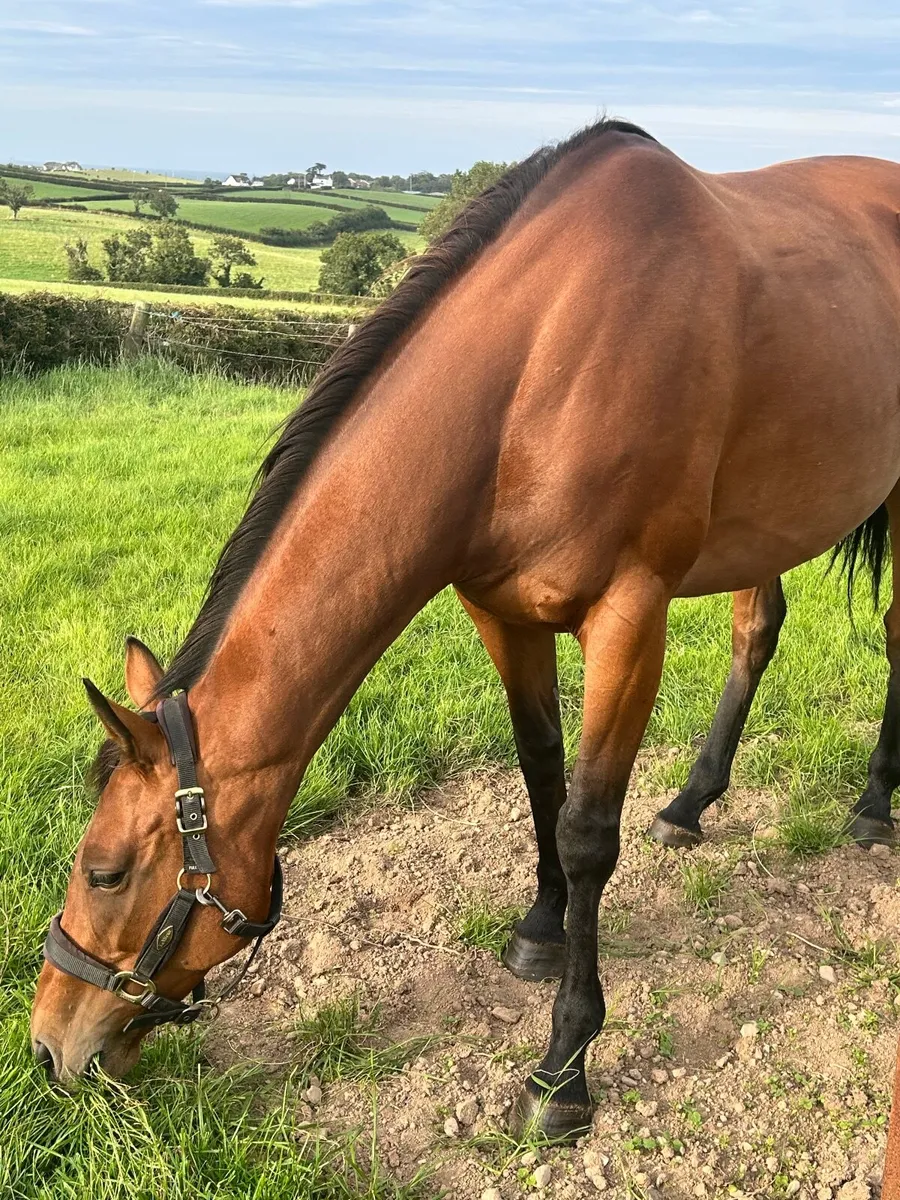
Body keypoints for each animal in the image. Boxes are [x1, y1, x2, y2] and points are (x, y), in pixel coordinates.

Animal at [31, 118, 900, 1142]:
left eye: (106, 872)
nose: (48, 1046)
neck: (538, 367)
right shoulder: (500, 612)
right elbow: (540, 774)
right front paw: (538, 933)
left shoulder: (630, 618)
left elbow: (586, 829)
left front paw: (563, 1068)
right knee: (757, 629)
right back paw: (692, 804)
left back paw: (871, 808)